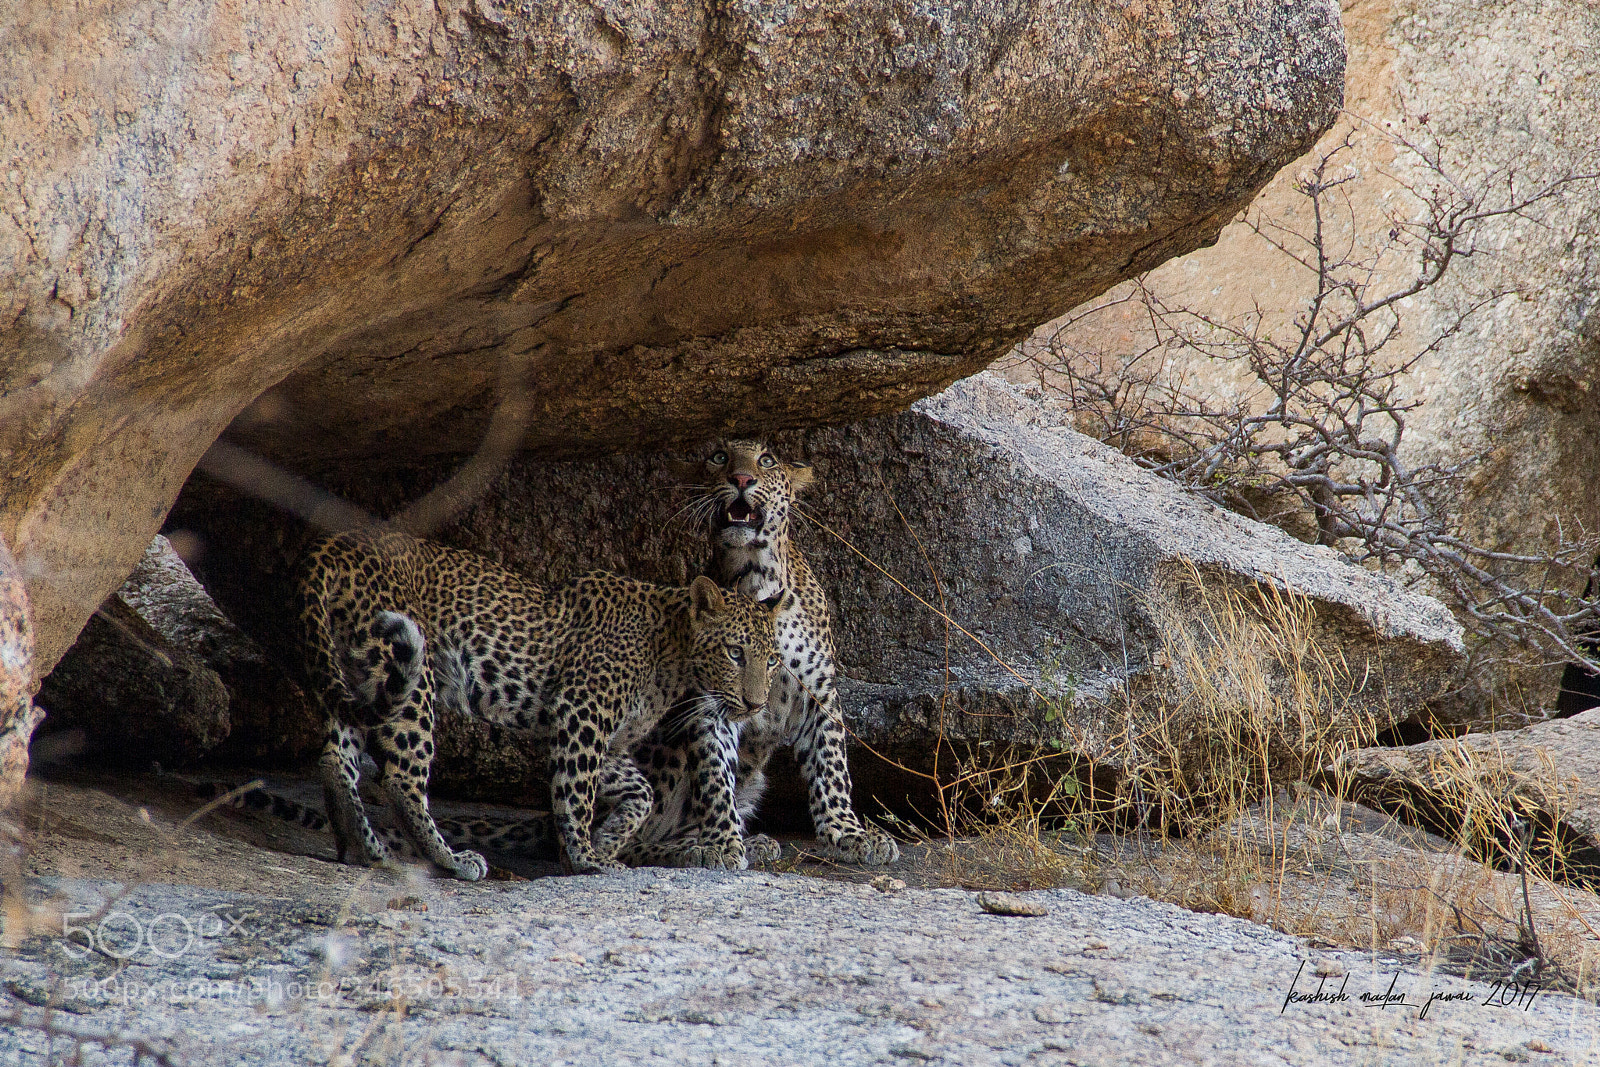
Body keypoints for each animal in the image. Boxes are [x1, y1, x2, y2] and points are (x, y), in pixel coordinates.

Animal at [296, 528, 779, 879]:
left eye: (772, 659)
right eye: (735, 653)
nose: (756, 705)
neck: (673, 653)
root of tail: (337, 541)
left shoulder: (610, 741)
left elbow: (640, 793)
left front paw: (606, 843)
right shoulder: (583, 711)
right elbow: (576, 793)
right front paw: (585, 858)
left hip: (356, 669)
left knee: (335, 758)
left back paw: (364, 850)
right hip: (410, 675)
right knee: (400, 778)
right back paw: (449, 860)